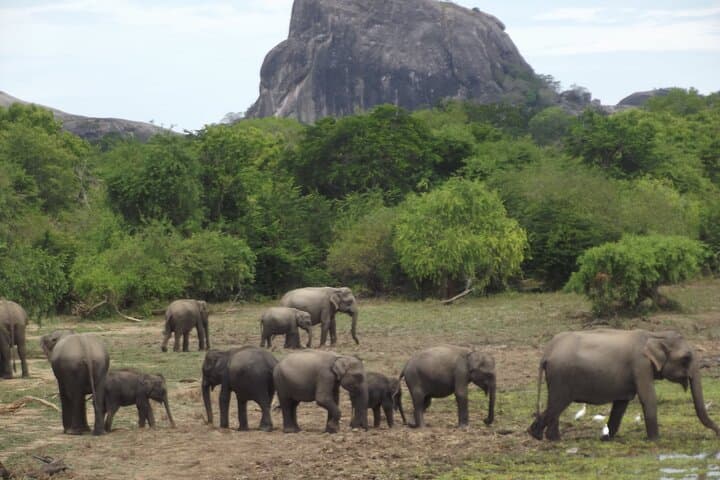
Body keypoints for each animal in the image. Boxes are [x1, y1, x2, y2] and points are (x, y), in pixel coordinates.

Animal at [529, 329, 720, 441]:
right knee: (557, 404)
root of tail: (546, 352)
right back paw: (537, 435)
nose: (717, 434)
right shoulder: (640, 365)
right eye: (686, 358)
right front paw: (654, 440)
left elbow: (621, 404)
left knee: (554, 405)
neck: (654, 335)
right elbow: (648, 397)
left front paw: (606, 439)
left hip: (556, 377)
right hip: (561, 377)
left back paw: (550, 438)